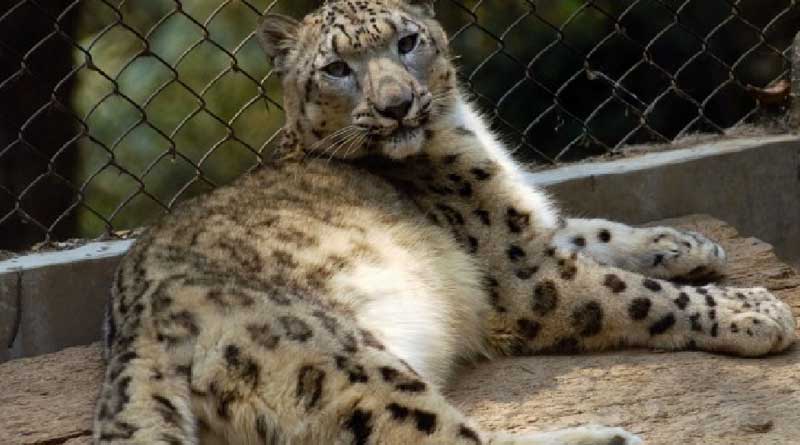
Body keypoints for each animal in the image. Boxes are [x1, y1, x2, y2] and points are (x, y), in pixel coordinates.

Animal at [92, 1, 797, 444]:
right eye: (336, 68)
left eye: (407, 42)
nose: (397, 104)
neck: (470, 137)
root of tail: (134, 331)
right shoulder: (522, 277)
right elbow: (640, 296)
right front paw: (753, 310)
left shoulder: (523, 230)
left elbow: (595, 230)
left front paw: (689, 242)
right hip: (351, 369)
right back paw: (608, 437)